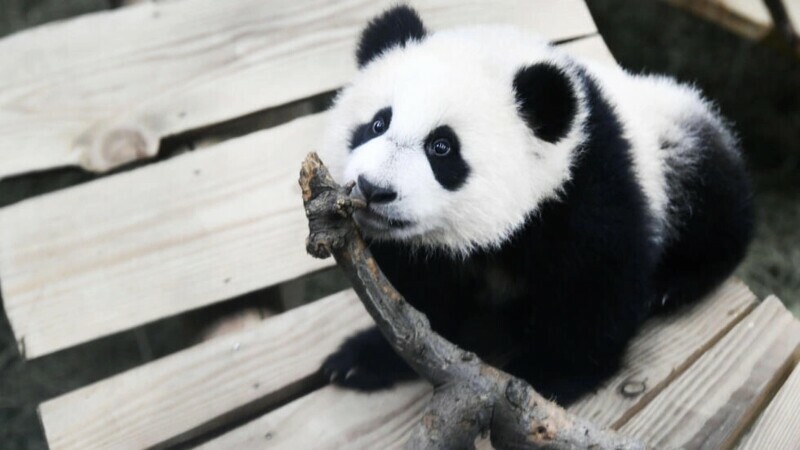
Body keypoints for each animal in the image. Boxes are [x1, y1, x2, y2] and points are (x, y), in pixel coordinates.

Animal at [318, 5, 754, 404]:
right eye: (377, 124)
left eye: (442, 147)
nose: (373, 189)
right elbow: (415, 298)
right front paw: (365, 358)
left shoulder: (589, 185)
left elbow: (595, 284)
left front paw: (546, 376)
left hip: (679, 148)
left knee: (714, 211)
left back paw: (673, 285)